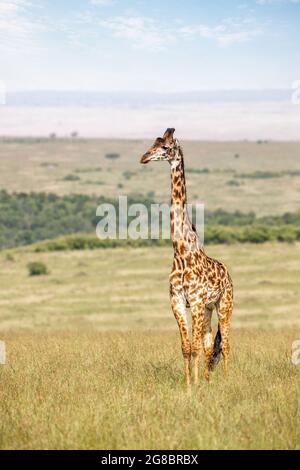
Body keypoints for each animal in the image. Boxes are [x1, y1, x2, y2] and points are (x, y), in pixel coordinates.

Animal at [139, 127, 233, 386]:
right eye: (153, 143)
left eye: (166, 147)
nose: (144, 158)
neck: (180, 251)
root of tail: (228, 274)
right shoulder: (178, 302)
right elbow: (186, 347)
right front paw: (190, 384)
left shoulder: (197, 302)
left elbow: (195, 347)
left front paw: (195, 385)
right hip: (209, 308)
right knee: (210, 345)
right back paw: (209, 380)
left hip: (224, 304)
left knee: (226, 344)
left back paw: (226, 378)